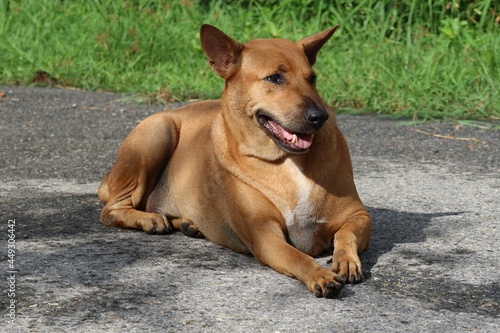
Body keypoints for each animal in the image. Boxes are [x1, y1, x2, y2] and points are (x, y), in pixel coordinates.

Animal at [98, 24, 372, 298]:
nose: (320, 116)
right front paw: (319, 274)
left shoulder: (358, 215)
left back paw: (189, 224)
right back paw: (149, 219)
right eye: (275, 78)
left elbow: (346, 234)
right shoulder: (265, 235)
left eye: (312, 78)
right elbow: (298, 257)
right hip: (157, 132)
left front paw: (346, 259)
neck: (287, 160)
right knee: (110, 211)